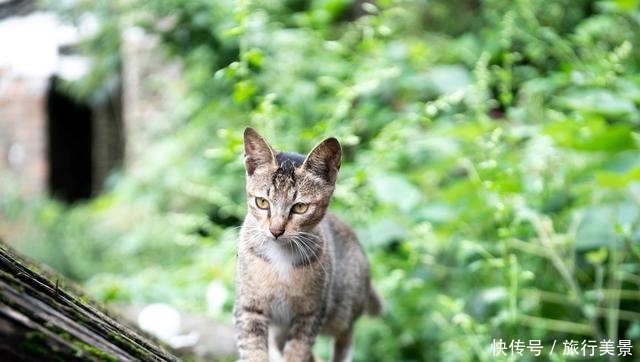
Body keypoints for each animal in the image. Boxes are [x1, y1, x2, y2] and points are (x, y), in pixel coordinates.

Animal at [234, 128, 380, 362]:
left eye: (300, 207)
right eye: (262, 202)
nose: (276, 230)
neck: (280, 257)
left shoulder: (311, 314)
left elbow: (297, 352)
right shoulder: (248, 307)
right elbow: (253, 350)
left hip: (342, 307)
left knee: (346, 335)